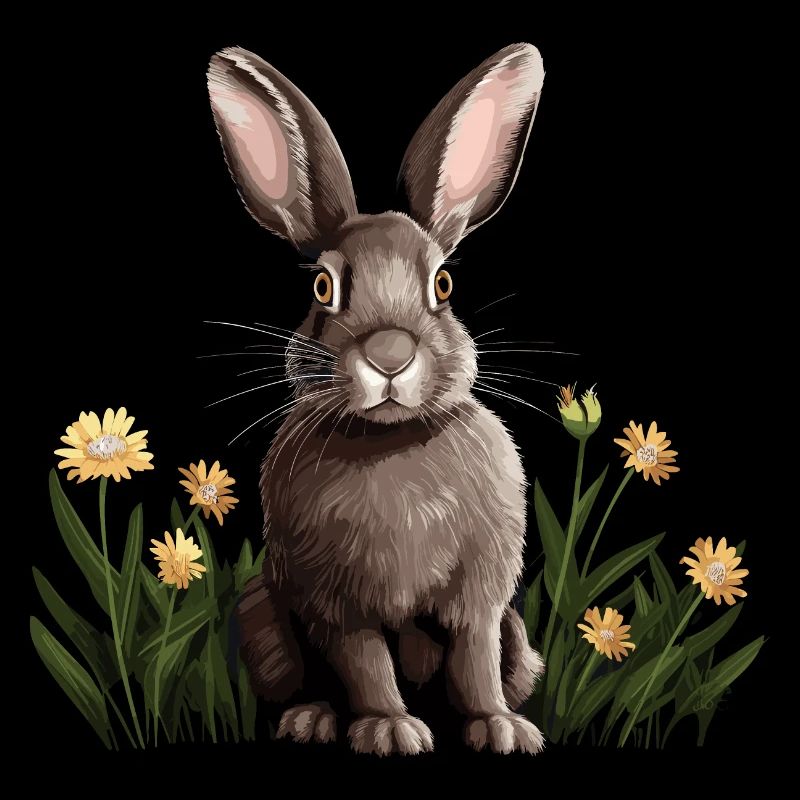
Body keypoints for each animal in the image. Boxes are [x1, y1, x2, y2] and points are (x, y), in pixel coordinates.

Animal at [208, 42, 546, 755]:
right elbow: (364, 662)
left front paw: (500, 728)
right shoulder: (336, 604)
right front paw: (390, 730)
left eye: (443, 285)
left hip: (518, 636)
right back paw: (311, 721)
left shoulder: (482, 600)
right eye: (322, 288)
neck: (393, 440)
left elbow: (474, 659)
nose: (390, 355)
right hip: (261, 616)